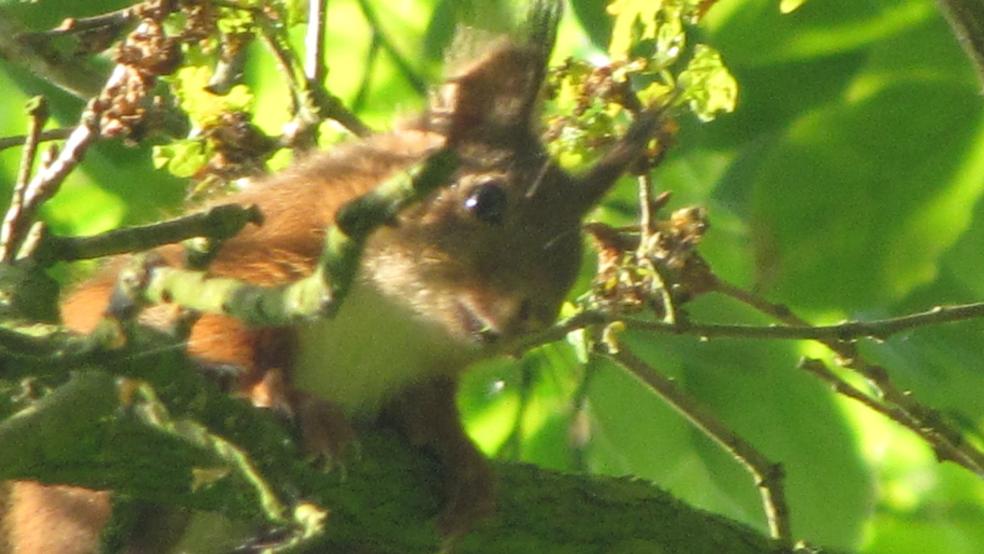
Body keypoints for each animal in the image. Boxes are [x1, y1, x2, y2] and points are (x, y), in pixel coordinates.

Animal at [1, 12, 660, 552]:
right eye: (485, 200)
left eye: (573, 263)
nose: (528, 316)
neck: (393, 319)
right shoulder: (251, 259)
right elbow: (213, 330)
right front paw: (281, 395)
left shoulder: (422, 368)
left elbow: (428, 405)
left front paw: (459, 453)